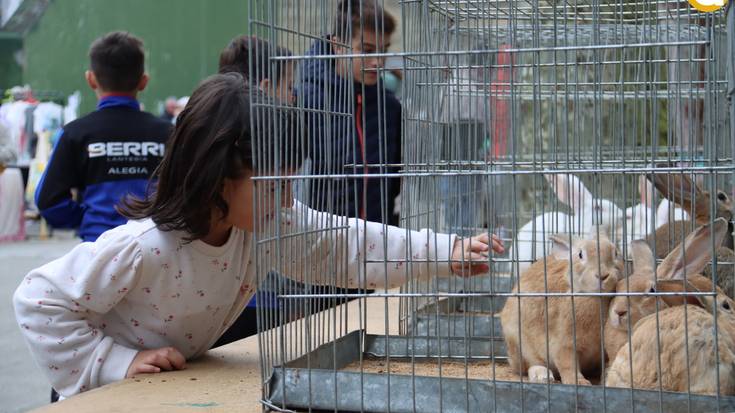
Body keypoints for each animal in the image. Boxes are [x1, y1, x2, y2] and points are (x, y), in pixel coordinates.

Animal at [500, 225, 620, 384]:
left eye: (615, 252)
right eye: (580, 254)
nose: (603, 275)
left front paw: (607, 377)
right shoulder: (563, 345)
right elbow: (568, 365)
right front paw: (579, 382)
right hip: (519, 342)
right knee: (531, 364)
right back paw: (542, 376)